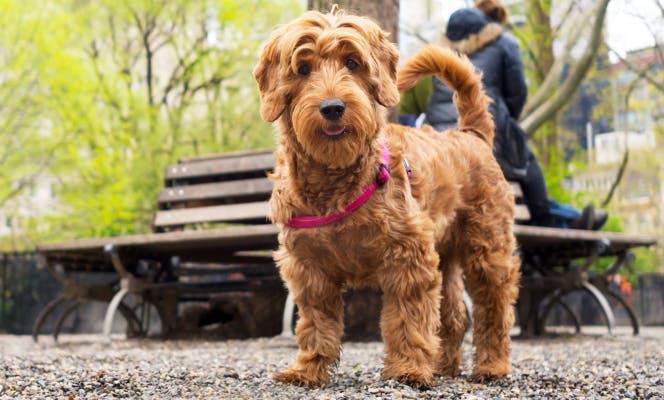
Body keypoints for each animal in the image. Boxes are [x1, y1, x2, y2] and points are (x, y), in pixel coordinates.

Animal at [253, 9, 520, 388]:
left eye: (352, 62)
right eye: (302, 69)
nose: (332, 107)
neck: (336, 181)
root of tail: (470, 135)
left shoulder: (408, 257)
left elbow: (408, 318)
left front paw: (408, 368)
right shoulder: (309, 267)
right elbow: (315, 323)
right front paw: (308, 369)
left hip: (487, 247)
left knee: (494, 309)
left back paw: (492, 366)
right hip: (446, 254)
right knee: (453, 315)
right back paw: (443, 366)